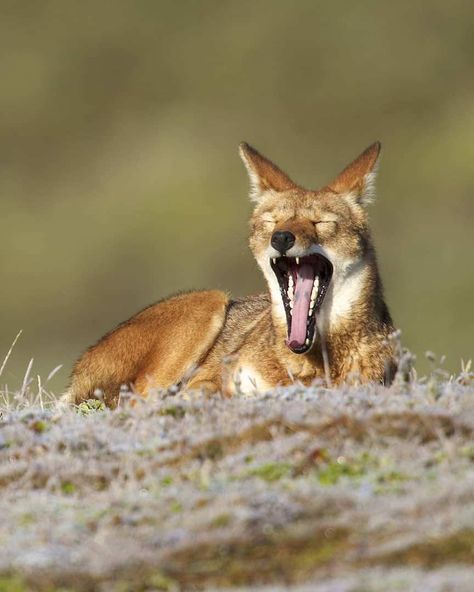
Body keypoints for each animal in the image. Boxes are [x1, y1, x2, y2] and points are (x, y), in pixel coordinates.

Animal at [66, 142, 396, 408]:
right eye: (272, 222)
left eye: (321, 222)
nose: (281, 238)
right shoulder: (215, 377)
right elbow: (207, 390)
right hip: (209, 302)